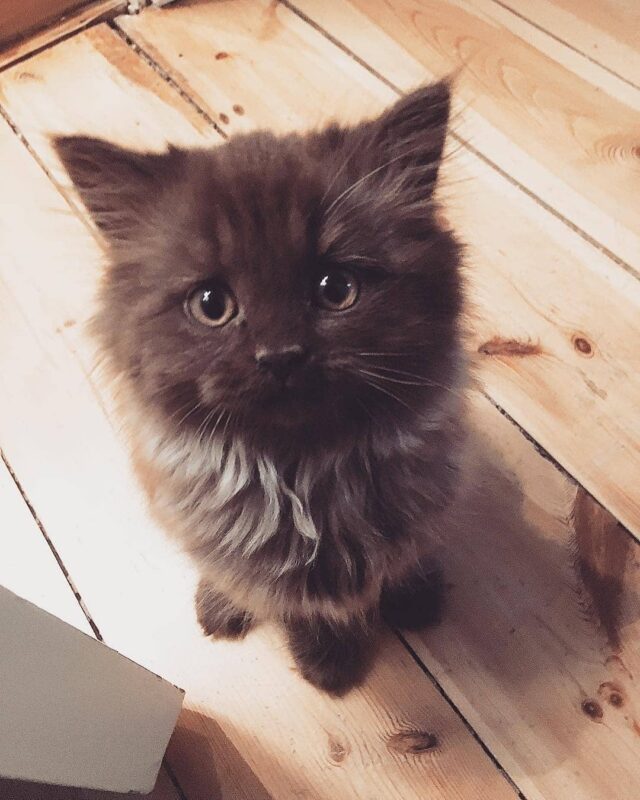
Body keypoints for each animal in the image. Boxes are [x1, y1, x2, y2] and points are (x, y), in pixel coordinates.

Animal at [53, 81, 464, 692]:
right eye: (211, 305)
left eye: (336, 288)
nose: (281, 356)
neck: (300, 476)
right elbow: (297, 605)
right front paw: (327, 661)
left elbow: (401, 559)